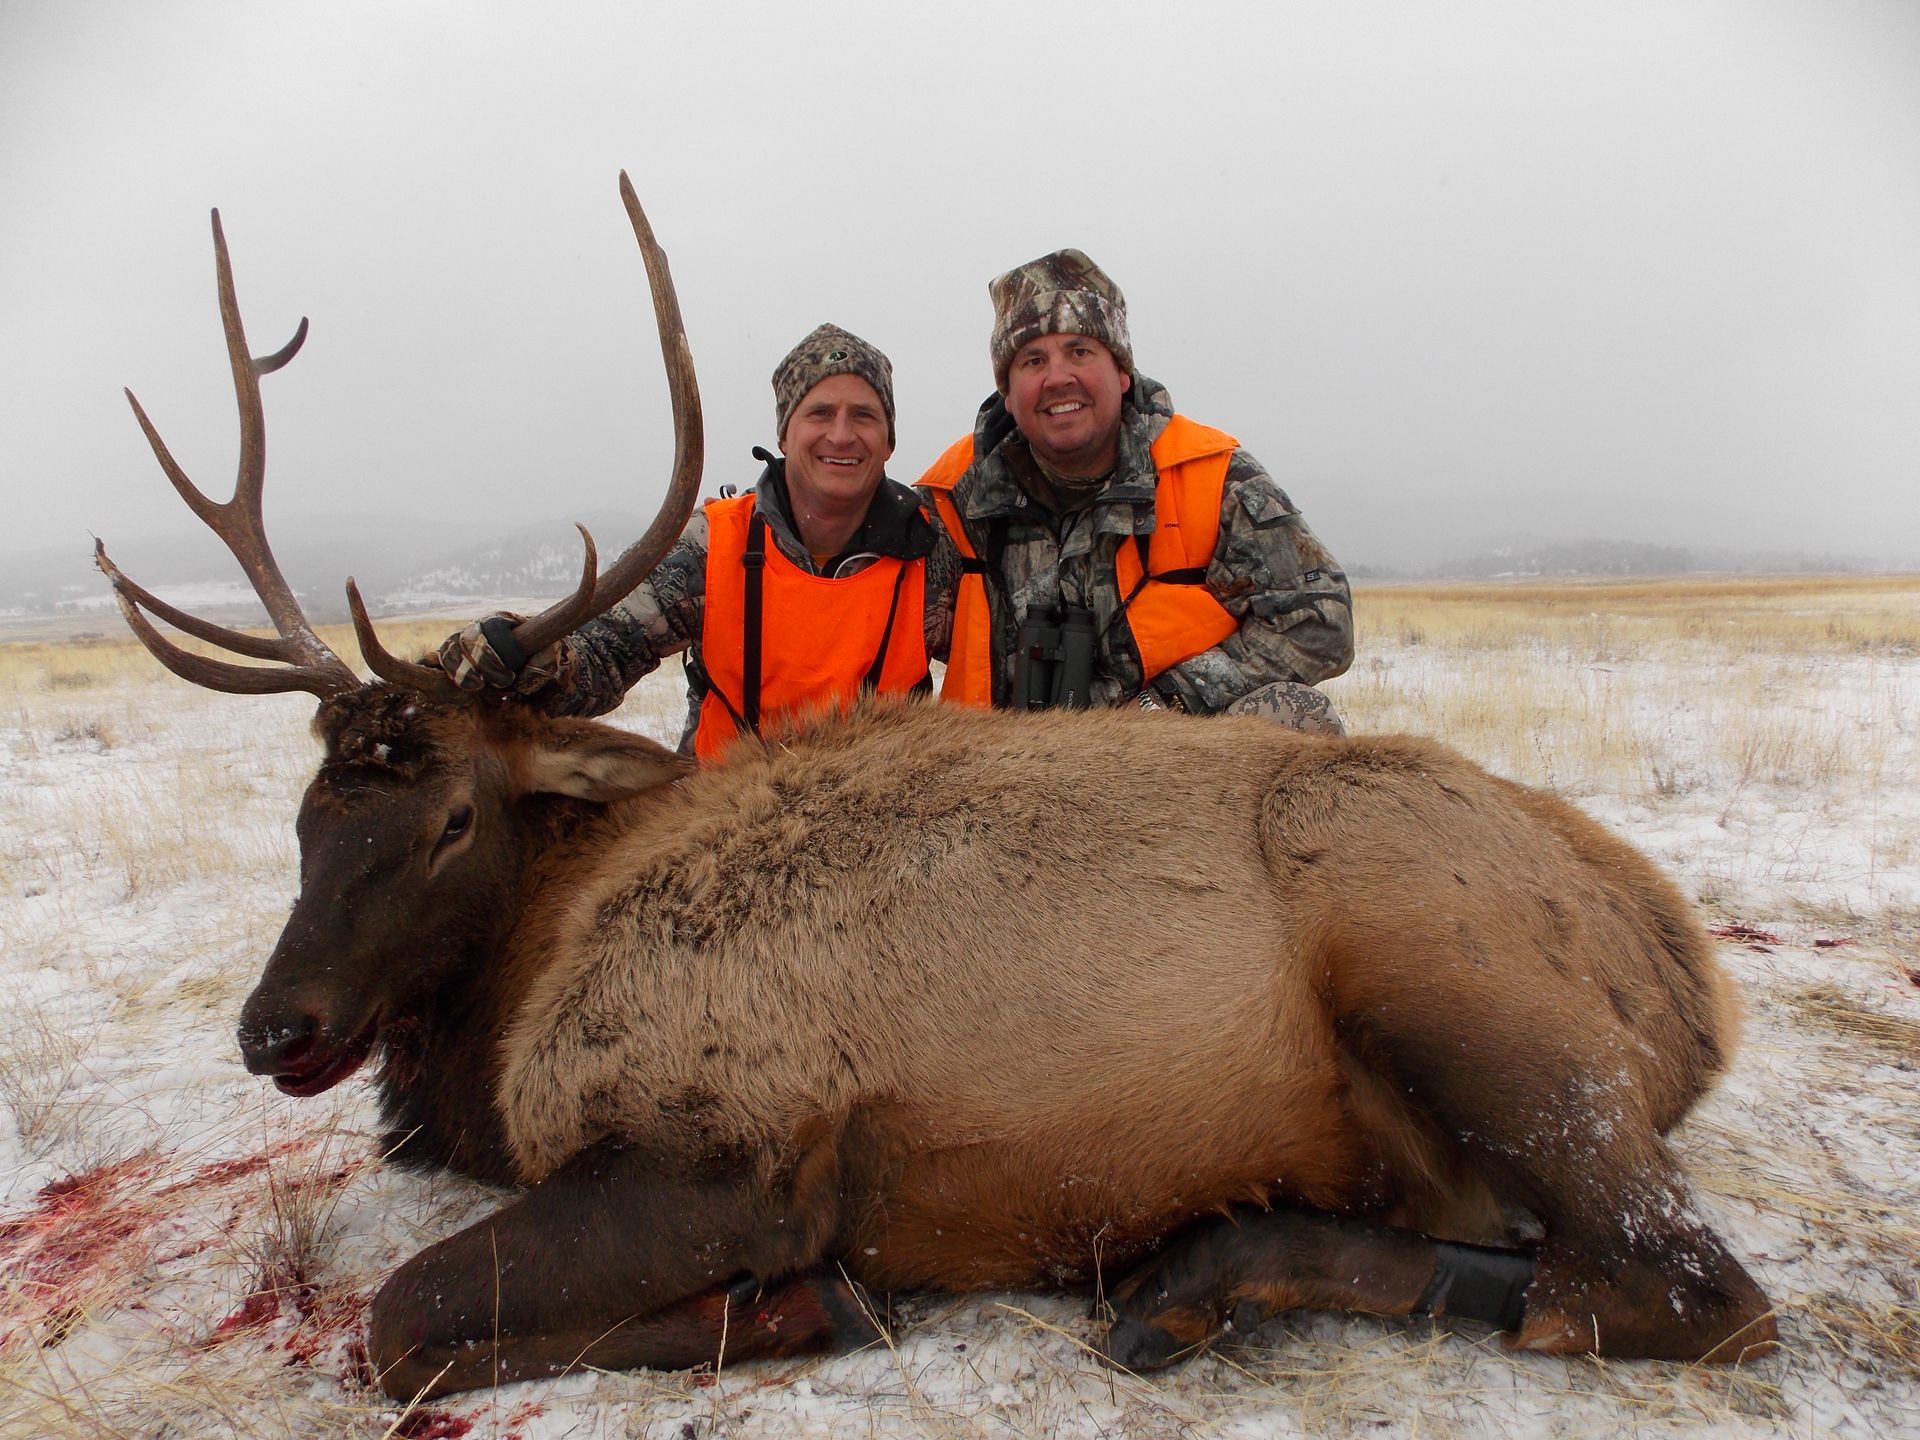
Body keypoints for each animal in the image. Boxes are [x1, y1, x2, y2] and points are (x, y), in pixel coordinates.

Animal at [96, 176, 1778, 1402]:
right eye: (307, 811)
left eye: (452, 816)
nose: (275, 1027)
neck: (526, 984)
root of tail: (1690, 984)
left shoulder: (731, 1144)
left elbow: (398, 1323)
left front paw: (814, 1306)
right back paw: (1186, 1277)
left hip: (1458, 980)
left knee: (1693, 1286)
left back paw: (1196, 1281)